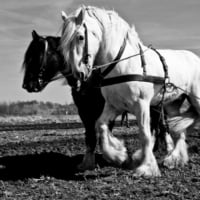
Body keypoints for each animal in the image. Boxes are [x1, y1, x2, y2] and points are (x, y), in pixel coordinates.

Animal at [21, 30, 171, 170]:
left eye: (38, 56)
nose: (27, 85)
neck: (91, 78)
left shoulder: (107, 107)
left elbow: (105, 131)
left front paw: (115, 155)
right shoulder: (84, 110)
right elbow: (90, 135)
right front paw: (88, 162)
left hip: (156, 105)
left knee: (160, 126)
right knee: (155, 126)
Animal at [61, 5, 200, 177]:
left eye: (80, 37)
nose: (77, 75)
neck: (122, 64)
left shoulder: (141, 105)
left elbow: (145, 134)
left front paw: (146, 168)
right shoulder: (114, 105)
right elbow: (100, 125)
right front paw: (119, 156)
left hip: (196, 99)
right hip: (172, 103)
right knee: (179, 132)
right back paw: (174, 159)